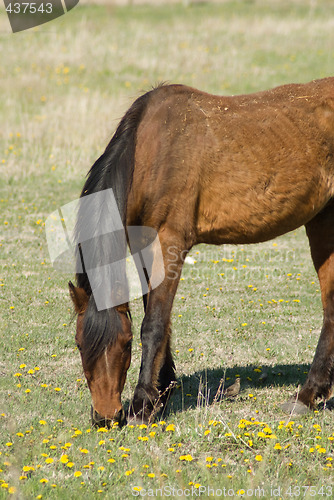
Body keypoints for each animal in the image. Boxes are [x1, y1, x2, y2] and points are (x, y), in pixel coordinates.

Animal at [68, 77, 334, 426]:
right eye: (78, 343)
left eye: (126, 344)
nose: (106, 416)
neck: (151, 151)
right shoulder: (142, 245)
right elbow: (158, 315)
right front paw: (162, 390)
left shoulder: (170, 242)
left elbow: (154, 324)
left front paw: (142, 405)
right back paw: (309, 394)